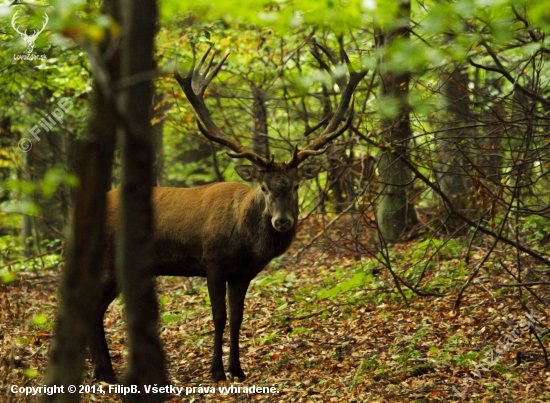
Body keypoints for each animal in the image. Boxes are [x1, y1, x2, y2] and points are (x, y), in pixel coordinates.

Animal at [89, 45, 366, 384]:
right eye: (263, 187)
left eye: (296, 185)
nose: (282, 221)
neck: (244, 240)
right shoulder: (212, 262)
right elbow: (218, 317)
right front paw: (217, 371)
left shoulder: (242, 273)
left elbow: (237, 318)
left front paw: (238, 369)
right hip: (108, 260)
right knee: (90, 308)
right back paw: (105, 372)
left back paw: (103, 371)